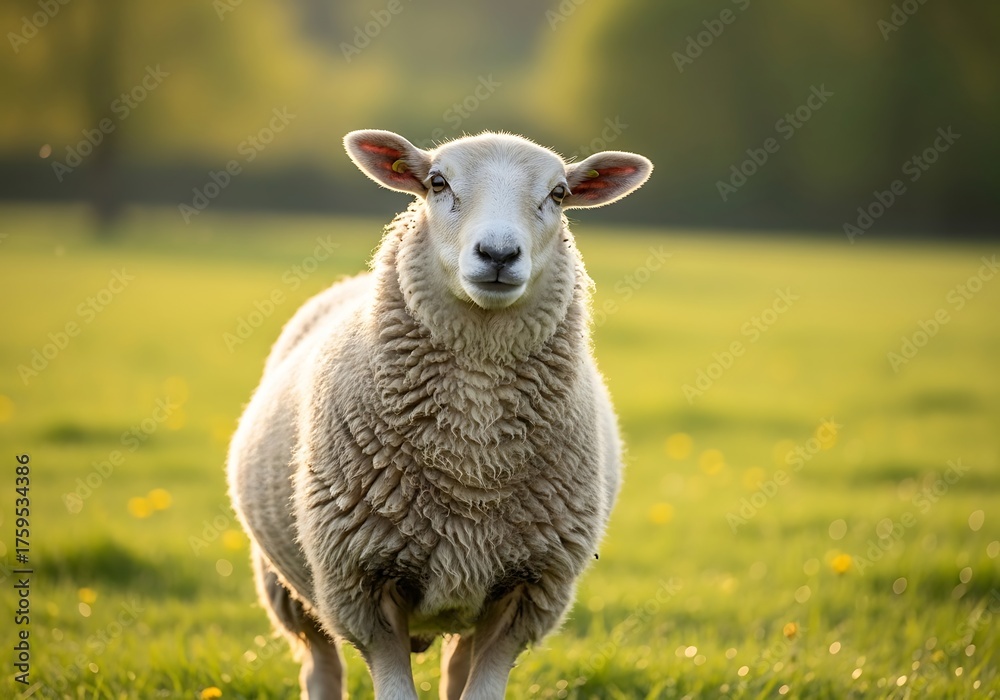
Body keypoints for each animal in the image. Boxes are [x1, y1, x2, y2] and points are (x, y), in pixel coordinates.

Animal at [227, 129, 652, 700]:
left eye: (559, 194)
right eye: (436, 182)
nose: (498, 253)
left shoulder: (528, 591)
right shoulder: (363, 587)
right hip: (288, 584)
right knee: (320, 666)